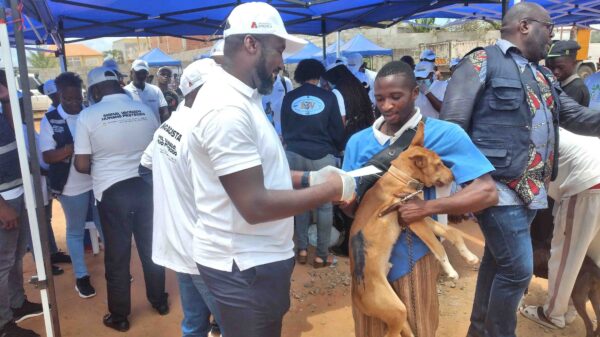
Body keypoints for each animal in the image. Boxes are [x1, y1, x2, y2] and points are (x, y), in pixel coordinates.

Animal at [350, 122, 480, 336]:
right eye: (438, 164)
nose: (455, 176)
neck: (401, 179)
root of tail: (356, 294)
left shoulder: (419, 214)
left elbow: (452, 233)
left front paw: (469, 256)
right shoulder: (416, 223)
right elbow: (438, 247)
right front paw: (450, 271)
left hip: (399, 309)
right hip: (396, 311)